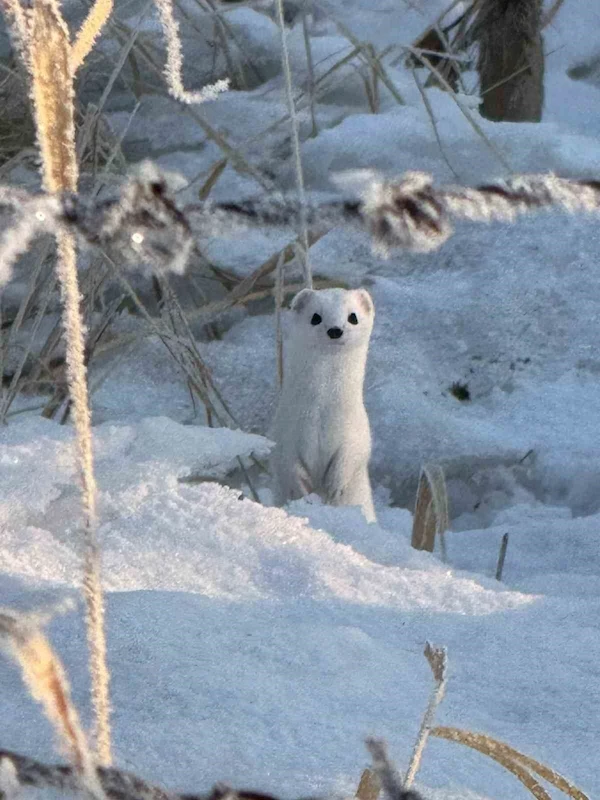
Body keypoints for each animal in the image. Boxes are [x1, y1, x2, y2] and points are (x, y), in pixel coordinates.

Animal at [270, 288, 376, 524]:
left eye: (353, 317)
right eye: (315, 317)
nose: (335, 330)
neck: (320, 413)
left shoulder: (357, 430)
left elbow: (352, 455)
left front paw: (334, 486)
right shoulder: (284, 433)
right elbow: (287, 462)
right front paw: (304, 491)